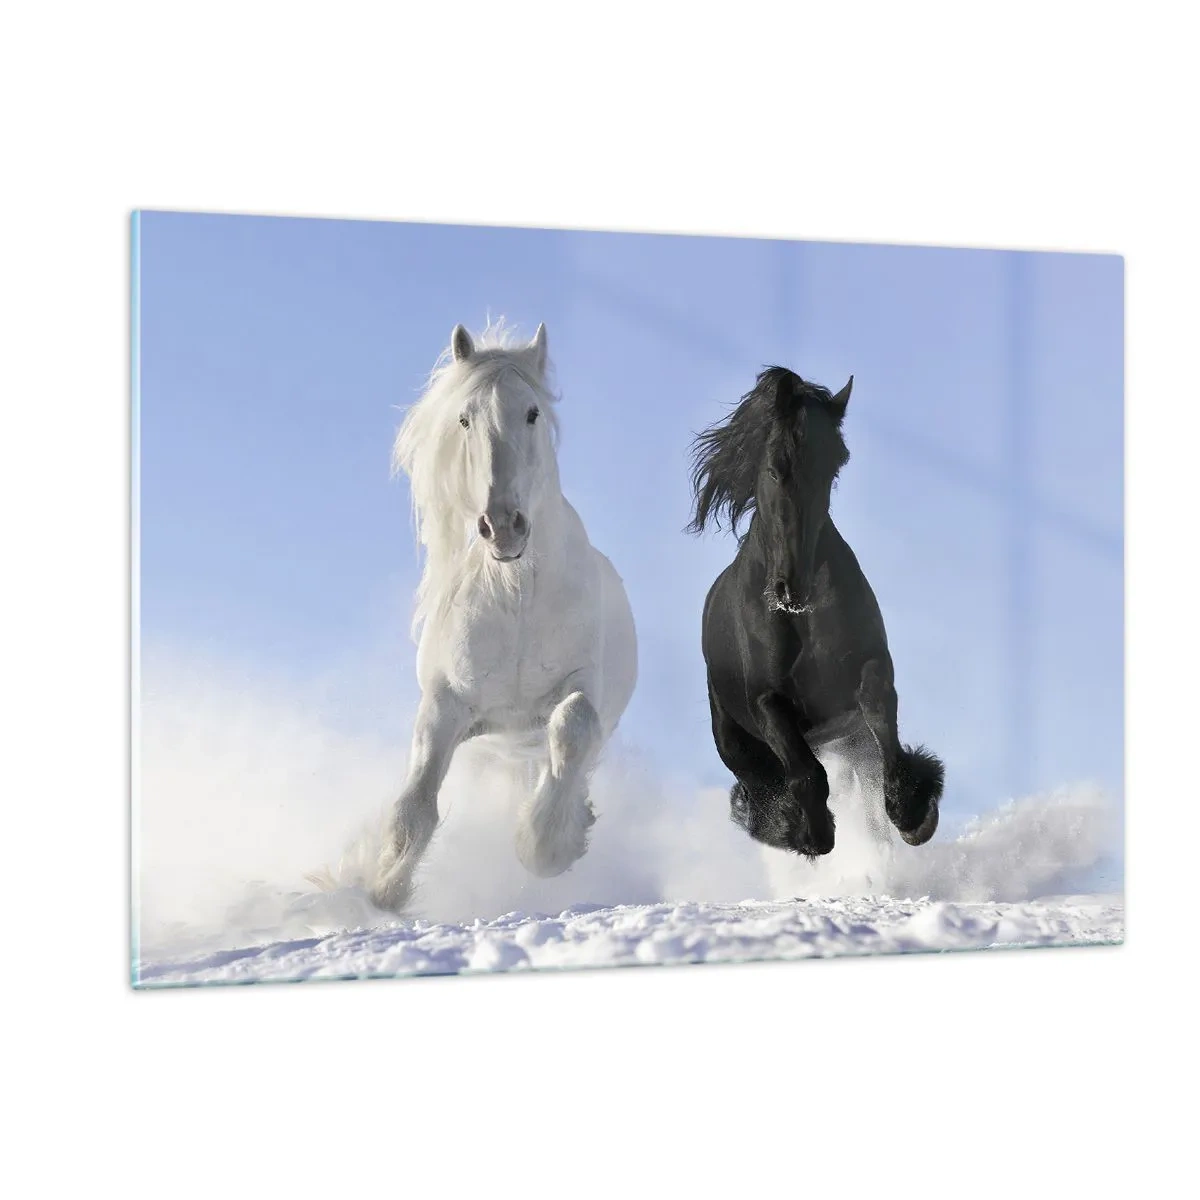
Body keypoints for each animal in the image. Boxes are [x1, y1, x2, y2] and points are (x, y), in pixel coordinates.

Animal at [371, 321, 638, 914]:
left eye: (532, 412)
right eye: (464, 418)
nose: (503, 526)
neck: (516, 597)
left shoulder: (581, 686)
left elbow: (572, 726)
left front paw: (548, 844)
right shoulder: (445, 704)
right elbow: (413, 807)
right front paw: (379, 891)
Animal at [687, 366, 943, 860]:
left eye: (834, 466)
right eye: (774, 466)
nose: (792, 588)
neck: (800, 620)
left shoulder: (869, 670)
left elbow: (881, 716)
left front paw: (912, 810)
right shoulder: (767, 702)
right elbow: (805, 773)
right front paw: (810, 833)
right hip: (736, 743)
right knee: (761, 786)